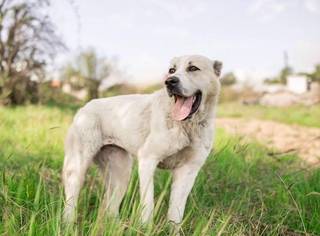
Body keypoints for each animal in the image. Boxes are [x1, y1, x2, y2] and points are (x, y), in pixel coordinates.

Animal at [62, 54, 222, 225]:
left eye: (193, 68)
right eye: (171, 70)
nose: (169, 81)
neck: (187, 125)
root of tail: (85, 107)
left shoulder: (188, 170)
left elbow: (176, 212)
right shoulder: (148, 160)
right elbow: (148, 204)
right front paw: (145, 227)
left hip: (121, 174)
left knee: (110, 207)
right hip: (78, 167)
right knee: (71, 199)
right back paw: (68, 225)